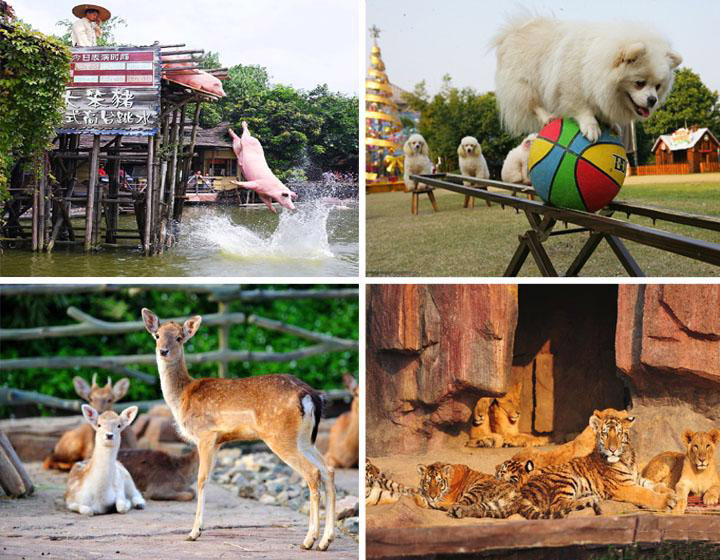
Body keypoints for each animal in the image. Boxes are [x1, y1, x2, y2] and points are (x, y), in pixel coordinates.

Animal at [141, 308, 336, 550]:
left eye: (179, 337)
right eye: (157, 335)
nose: (163, 351)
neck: (182, 398)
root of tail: (310, 395)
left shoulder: (205, 435)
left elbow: (201, 479)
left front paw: (193, 532)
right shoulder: (218, 441)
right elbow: (208, 477)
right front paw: (199, 529)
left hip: (280, 436)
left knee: (313, 472)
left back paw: (309, 540)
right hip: (305, 439)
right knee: (328, 470)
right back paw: (325, 541)